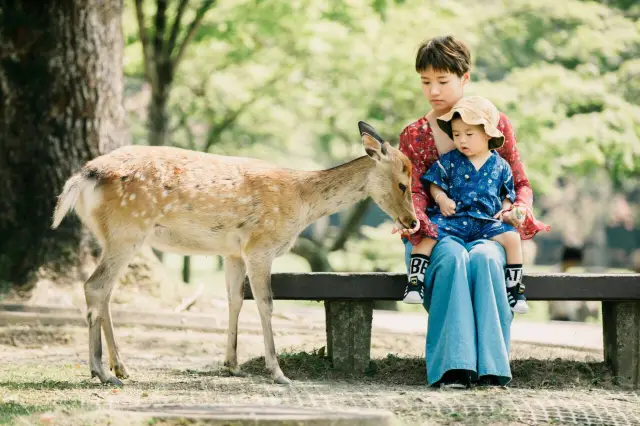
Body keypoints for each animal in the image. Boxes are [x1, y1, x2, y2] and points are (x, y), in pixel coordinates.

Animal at [51, 121, 418, 386]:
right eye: (403, 182)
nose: (413, 221)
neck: (301, 202)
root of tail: (82, 178)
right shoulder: (260, 245)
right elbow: (266, 303)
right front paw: (278, 372)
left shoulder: (232, 253)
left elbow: (235, 300)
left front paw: (232, 365)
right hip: (127, 229)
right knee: (94, 286)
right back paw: (101, 372)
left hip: (114, 236)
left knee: (105, 292)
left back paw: (121, 367)